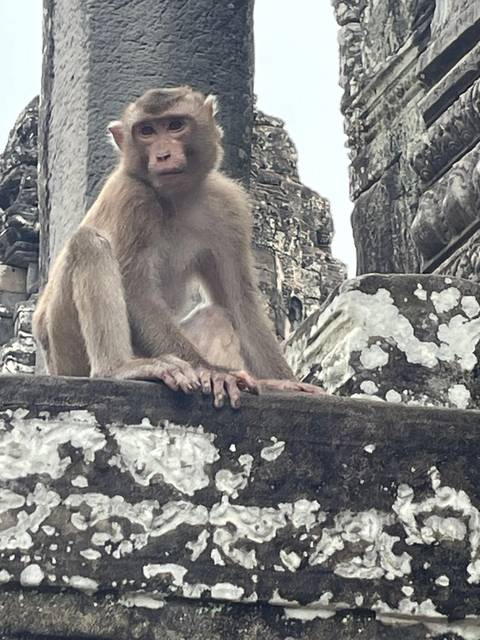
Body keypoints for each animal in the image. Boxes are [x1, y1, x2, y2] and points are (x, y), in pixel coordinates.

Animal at [33, 86, 324, 408]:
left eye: (175, 125)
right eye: (146, 131)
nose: (162, 154)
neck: (176, 198)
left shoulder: (228, 207)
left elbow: (239, 300)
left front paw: (282, 382)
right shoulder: (132, 198)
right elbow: (136, 292)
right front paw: (213, 372)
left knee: (216, 316)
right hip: (66, 350)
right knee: (88, 244)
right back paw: (119, 369)